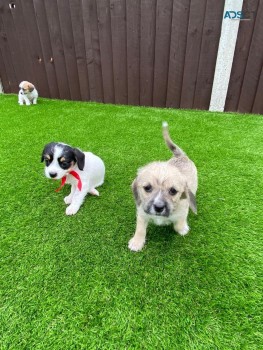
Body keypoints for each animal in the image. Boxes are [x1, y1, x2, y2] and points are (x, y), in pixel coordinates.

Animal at [130, 121, 198, 250]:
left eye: (173, 191)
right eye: (147, 188)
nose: (159, 207)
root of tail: (180, 155)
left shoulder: (183, 209)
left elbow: (179, 222)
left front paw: (182, 228)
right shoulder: (142, 212)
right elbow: (140, 228)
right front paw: (137, 242)